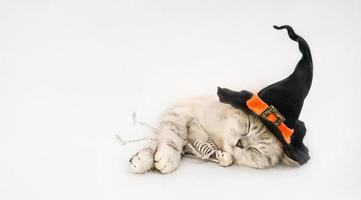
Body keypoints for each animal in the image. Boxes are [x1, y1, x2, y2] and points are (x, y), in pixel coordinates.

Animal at [128, 95, 296, 173]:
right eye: (248, 127)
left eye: (256, 151)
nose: (240, 144)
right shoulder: (179, 112)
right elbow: (172, 138)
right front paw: (163, 158)